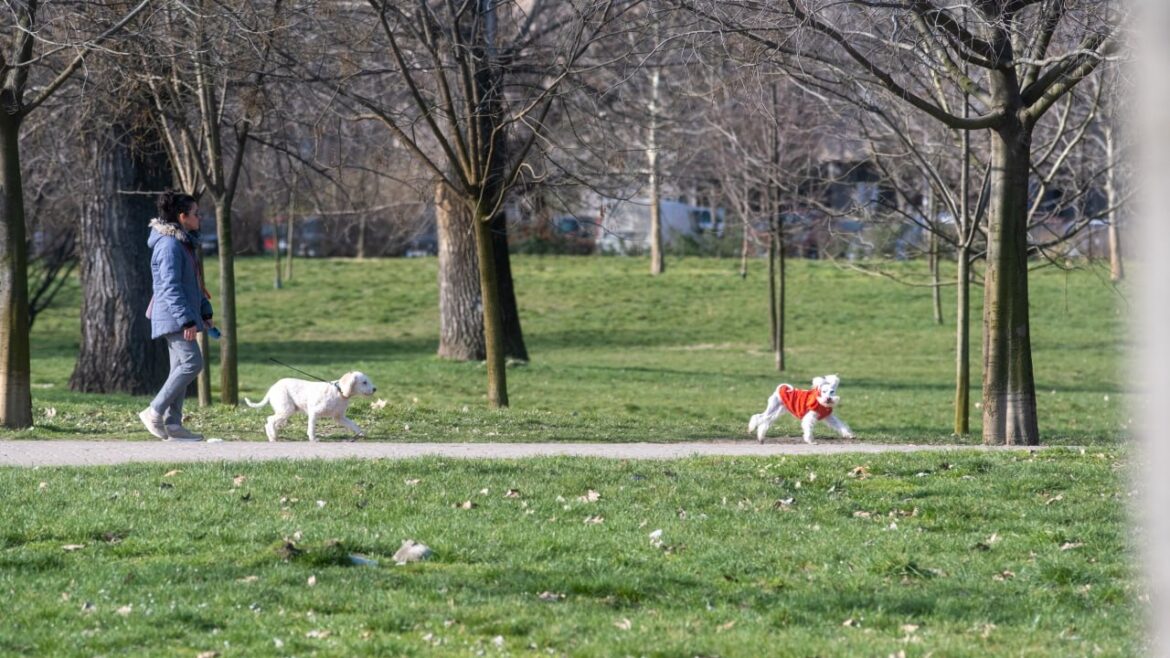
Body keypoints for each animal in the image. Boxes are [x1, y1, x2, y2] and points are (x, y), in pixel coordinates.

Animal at [244, 369, 376, 440]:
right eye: (364, 382)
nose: (375, 389)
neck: (339, 392)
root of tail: (272, 388)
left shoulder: (339, 417)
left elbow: (353, 424)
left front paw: (361, 433)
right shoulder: (314, 412)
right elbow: (311, 427)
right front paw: (313, 438)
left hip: (285, 411)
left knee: (271, 422)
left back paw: (273, 435)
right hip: (286, 409)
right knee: (270, 420)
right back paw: (273, 437)